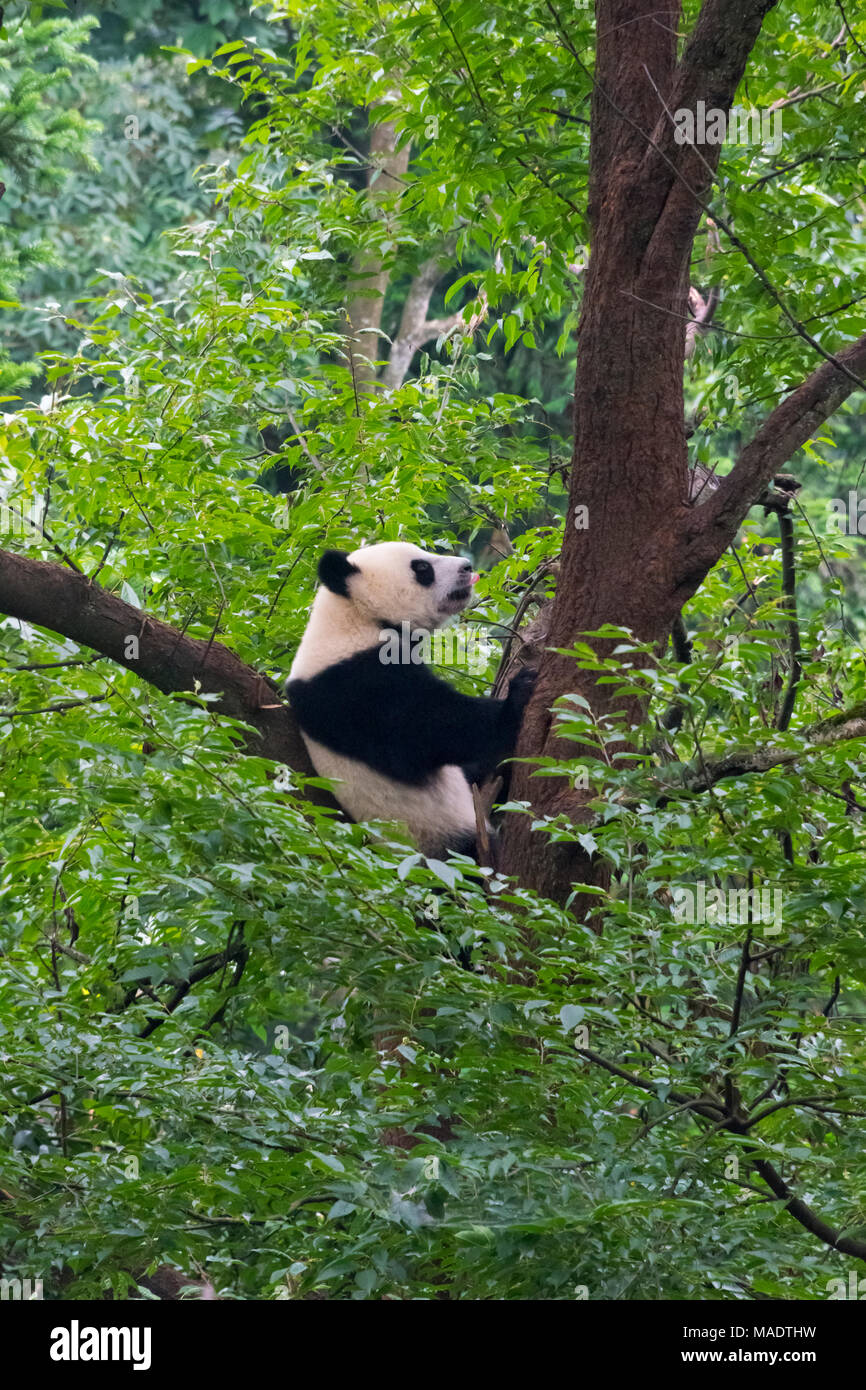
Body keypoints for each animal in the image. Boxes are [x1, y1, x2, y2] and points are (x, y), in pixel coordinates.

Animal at [289, 542, 536, 856]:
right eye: (421, 568)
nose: (467, 567)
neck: (355, 616)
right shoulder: (354, 686)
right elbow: (432, 727)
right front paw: (518, 695)